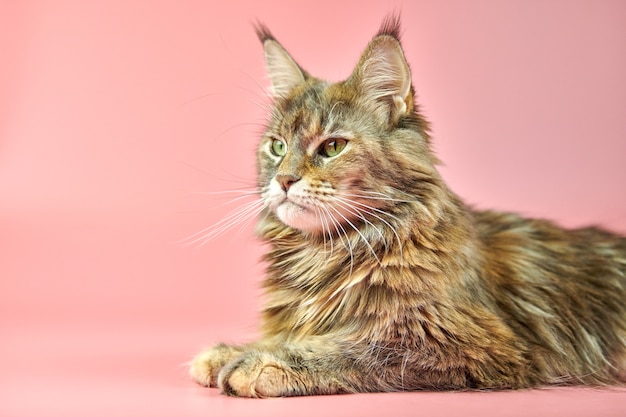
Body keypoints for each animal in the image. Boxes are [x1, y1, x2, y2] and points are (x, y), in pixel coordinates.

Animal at [189, 14, 624, 394]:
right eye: (277, 147)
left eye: (332, 147)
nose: (283, 180)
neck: (325, 253)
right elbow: (294, 332)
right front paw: (230, 352)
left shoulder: (458, 342)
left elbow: (350, 347)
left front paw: (261, 361)